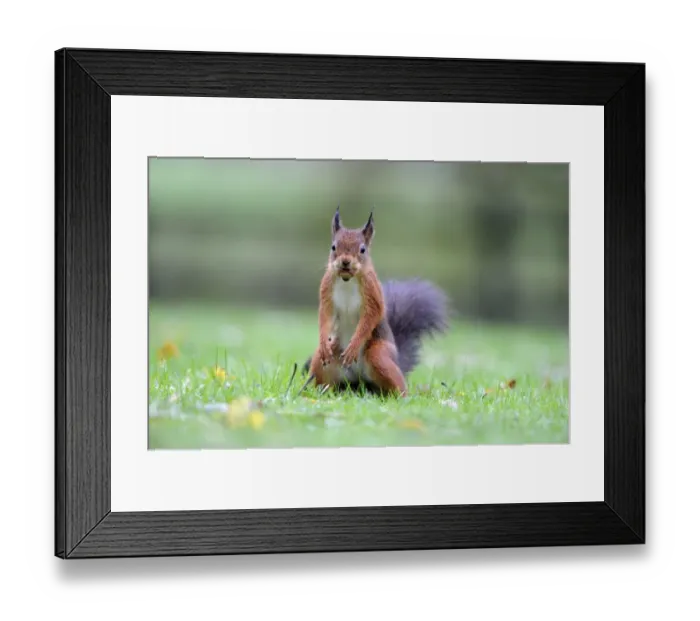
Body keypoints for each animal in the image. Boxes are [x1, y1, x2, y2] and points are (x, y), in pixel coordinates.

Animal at [303, 207, 448, 397]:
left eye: (363, 249)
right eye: (333, 247)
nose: (345, 262)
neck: (347, 279)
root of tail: (358, 381)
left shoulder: (372, 293)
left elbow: (371, 317)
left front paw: (354, 345)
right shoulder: (327, 290)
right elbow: (325, 316)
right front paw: (323, 343)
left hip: (380, 355)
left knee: (396, 382)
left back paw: (401, 395)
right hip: (325, 362)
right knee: (324, 373)